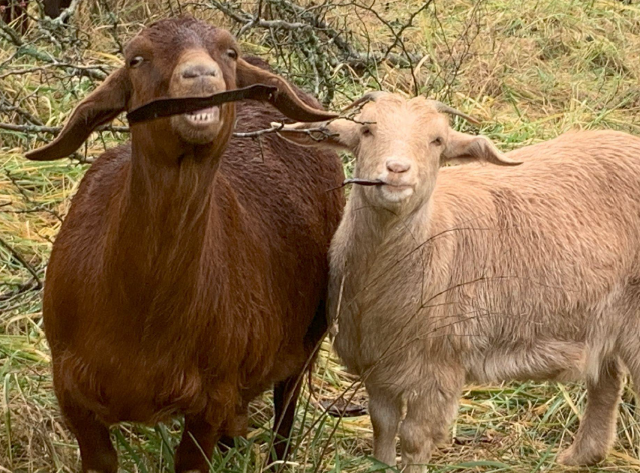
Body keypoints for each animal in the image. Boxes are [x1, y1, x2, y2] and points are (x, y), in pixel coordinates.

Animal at [25, 16, 344, 470]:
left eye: (229, 51)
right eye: (135, 59)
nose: (201, 76)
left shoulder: (211, 398)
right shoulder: (71, 393)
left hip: (310, 332)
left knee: (286, 408)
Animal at [280, 93, 640, 472]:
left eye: (437, 140)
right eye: (365, 130)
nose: (397, 170)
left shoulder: (439, 366)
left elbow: (415, 437)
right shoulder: (377, 365)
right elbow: (383, 424)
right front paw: (382, 463)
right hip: (601, 320)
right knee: (608, 380)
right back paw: (581, 455)